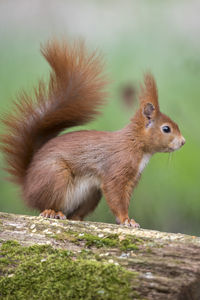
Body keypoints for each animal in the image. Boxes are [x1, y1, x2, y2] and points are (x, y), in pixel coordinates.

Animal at [0, 39, 185, 227]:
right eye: (166, 129)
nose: (183, 141)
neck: (135, 144)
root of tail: (27, 187)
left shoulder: (131, 179)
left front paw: (127, 220)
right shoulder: (117, 170)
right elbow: (116, 195)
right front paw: (126, 220)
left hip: (92, 194)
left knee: (74, 213)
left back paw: (76, 218)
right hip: (56, 176)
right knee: (45, 203)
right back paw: (52, 211)